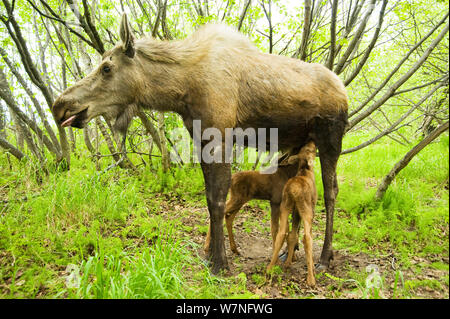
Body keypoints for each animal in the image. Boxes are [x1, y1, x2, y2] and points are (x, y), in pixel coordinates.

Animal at [52, 15, 348, 274]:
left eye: (106, 67)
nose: (59, 106)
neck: (181, 88)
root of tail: (344, 91)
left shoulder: (221, 137)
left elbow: (217, 200)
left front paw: (220, 263)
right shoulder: (202, 139)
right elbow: (208, 199)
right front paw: (211, 256)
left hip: (330, 138)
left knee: (331, 191)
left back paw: (325, 257)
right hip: (299, 143)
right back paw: (291, 251)